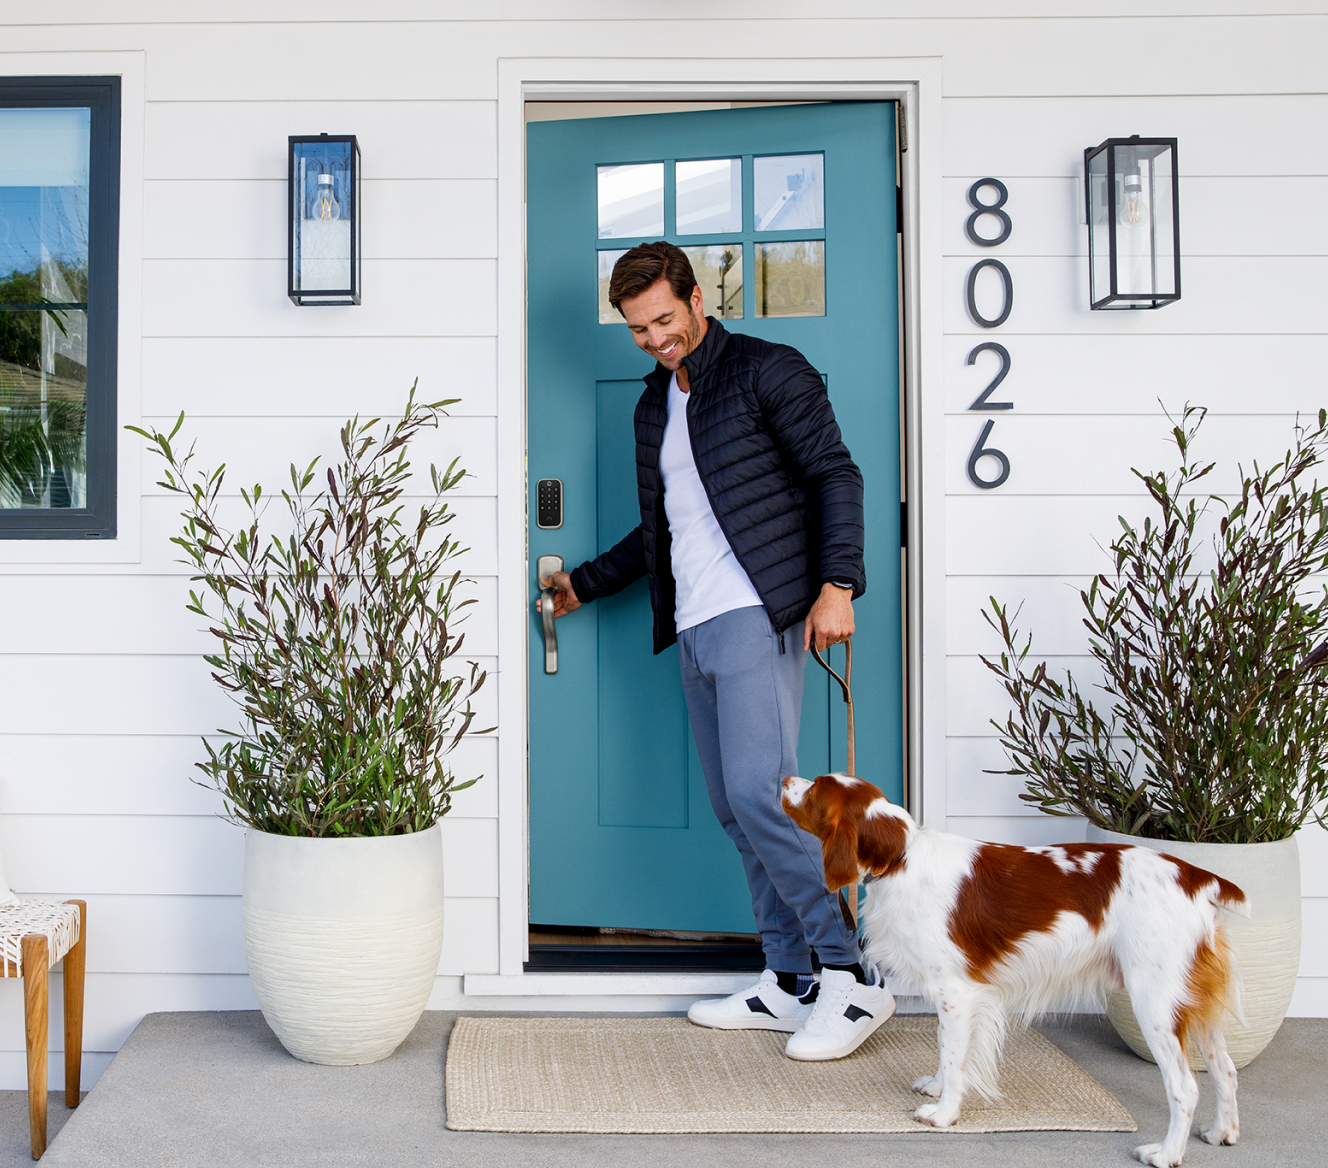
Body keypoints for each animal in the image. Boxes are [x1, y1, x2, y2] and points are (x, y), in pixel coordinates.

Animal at [775, 769, 1243, 1162]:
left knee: (1185, 1087)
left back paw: (1166, 1154)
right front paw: (938, 1088)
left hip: (1155, 1001)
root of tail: (1198, 878)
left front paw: (944, 1113)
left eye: (814, 790)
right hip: (1192, 1003)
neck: (901, 858)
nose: (783, 779)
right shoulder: (958, 995)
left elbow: (954, 1053)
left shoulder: (955, 991)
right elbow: (948, 1049)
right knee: (1226, 1069)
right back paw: (1221, 1132)